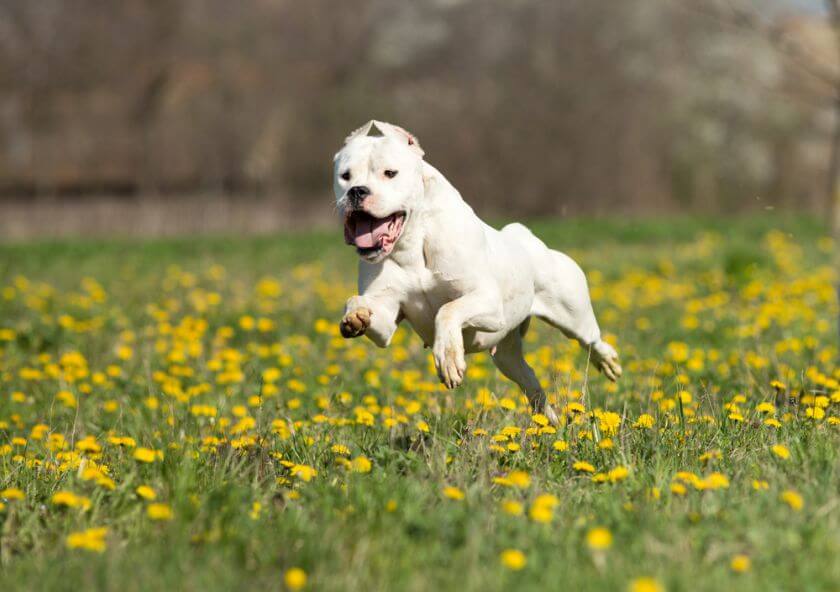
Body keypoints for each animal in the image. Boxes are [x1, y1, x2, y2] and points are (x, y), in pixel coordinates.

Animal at [332, 120, 620, 424]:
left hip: (572, 315)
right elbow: (361, 304)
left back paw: (607, 362)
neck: (413, 241)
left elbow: (447, 310)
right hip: (506, 356)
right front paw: (355, 316)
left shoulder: (488, 303)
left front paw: (448, 358)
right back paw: (548, 421)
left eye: (390, 173)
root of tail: (528, 238)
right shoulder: (386, 320)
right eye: (345, 176)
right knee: (528, 379)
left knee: (591, 340)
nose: (357, 191)